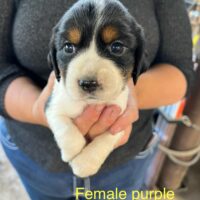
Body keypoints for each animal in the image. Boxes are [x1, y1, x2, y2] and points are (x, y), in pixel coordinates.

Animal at [46, 0, 148, 178]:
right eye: (68, 48)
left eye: (117, 47)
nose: (88, 83)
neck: (88, 103)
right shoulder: (52, 104)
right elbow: (64, 126)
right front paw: (73, 151)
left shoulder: (120, 120)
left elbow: (104, 141)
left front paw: (84, 164)